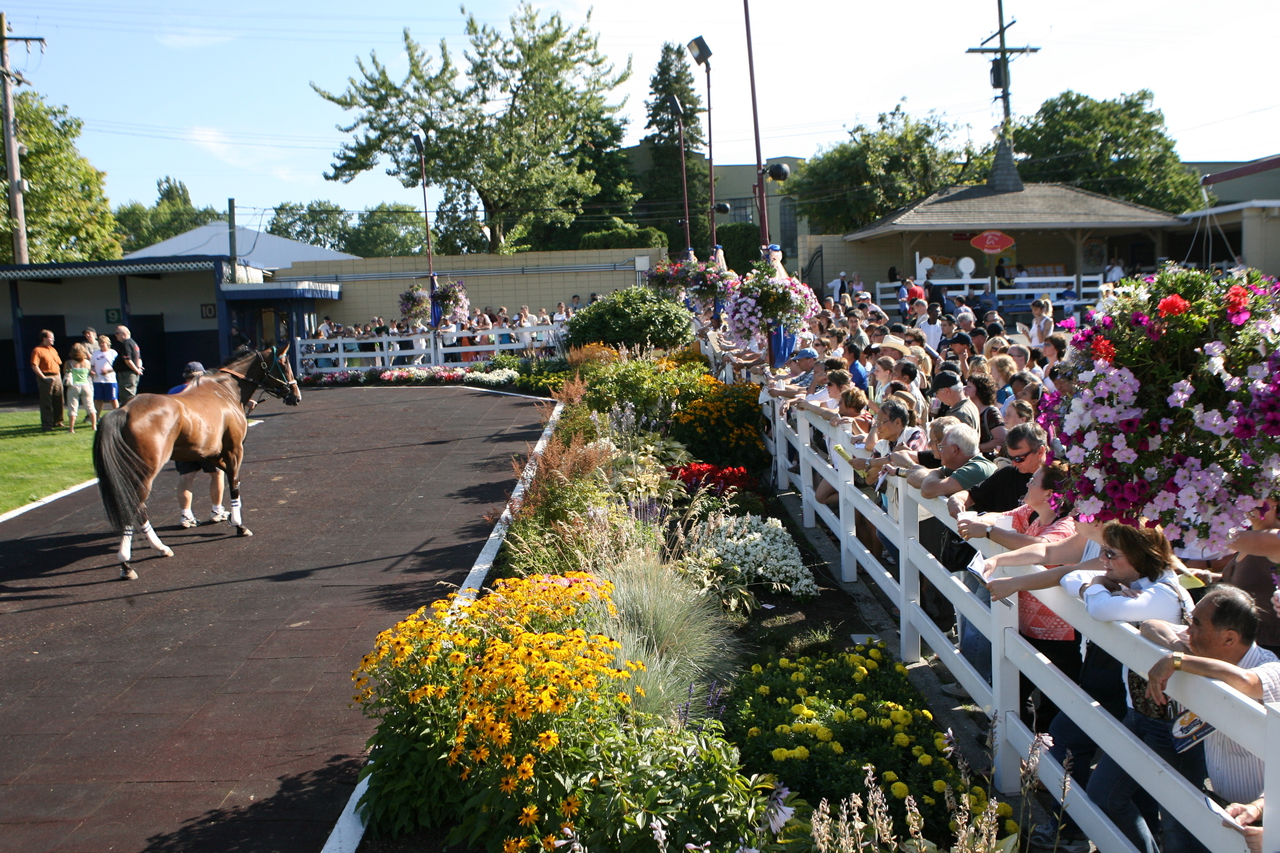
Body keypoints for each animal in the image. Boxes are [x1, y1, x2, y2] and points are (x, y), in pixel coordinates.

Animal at [93, 345, 300, 578]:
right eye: (284, 363)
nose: (295, 395)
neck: (225, 390)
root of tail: (124, 410)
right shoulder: (235, 450)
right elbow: (234, 485)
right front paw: (239, 525)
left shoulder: (212, 455)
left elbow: (227, 480)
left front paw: (228, 516)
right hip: (145, 472)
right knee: (133, 506)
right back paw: (126, 562)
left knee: (138, 508)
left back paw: (159, 548)